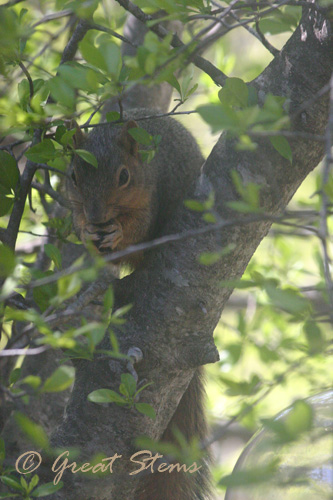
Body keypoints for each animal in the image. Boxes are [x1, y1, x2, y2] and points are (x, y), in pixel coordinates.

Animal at [66, 109, 209, 500]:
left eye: (124, 177)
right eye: (73, 175)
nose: (97, 216)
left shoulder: (151, 193)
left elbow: (140, 227)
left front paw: (117, 231)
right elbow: (81, 228)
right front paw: (87, 231)